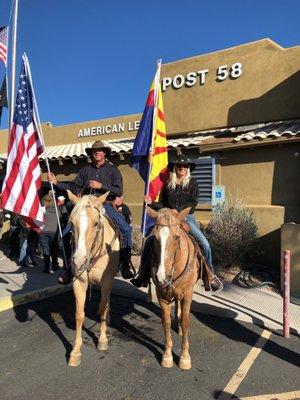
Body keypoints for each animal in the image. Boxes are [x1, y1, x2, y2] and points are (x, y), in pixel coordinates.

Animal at [67, 192, 120, 368]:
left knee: (106, 301)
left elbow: (103, 306)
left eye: (96, 223)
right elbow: (79, 314)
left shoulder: (107, 282)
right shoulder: (79, 282)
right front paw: (75, 352)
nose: (78, 262)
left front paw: (102, 339)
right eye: (71, 222)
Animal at [147, 208, 200, 370]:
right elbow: (166, 322)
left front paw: (184, 357)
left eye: (176, 237)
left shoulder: (188, 293)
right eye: (155, 237)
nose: (161, 276)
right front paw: (167, 355)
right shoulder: (161, 294)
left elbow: (186, 321)